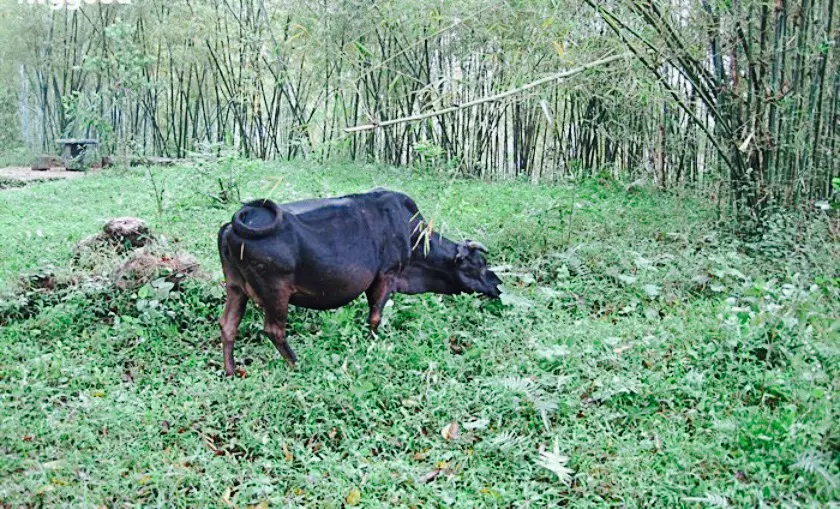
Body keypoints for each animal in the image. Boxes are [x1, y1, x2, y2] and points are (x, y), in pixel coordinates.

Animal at [217, 189, 502, 376]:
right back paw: (297, 364)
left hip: (235, 287)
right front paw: (373, 343)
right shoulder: (386, 276)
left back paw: (231, 371)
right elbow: (375, 317)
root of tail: (232, 226)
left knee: (228, 325)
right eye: (479, 264)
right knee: (274, 330)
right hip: (275, 292)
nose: (497, 284)